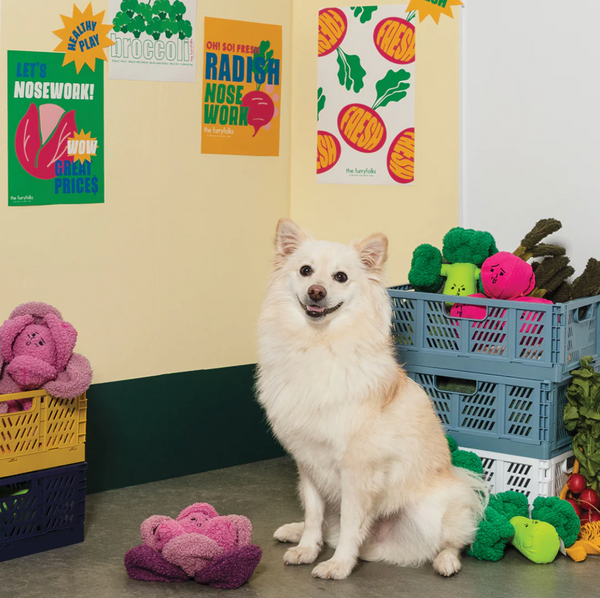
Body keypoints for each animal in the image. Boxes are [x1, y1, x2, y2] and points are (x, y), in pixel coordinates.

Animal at [255, 220, 486, 580]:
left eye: (341, 277)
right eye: (306, 271)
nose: (316, 291)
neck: (318, 343)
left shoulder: (357, 471)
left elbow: (351, 523)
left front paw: (338, 565)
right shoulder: (308, 464)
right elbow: (313, 514)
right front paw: (306, 548)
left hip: (434, 511)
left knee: (453, 540)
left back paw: (446, 561)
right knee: (326, 527)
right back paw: (295, 531)